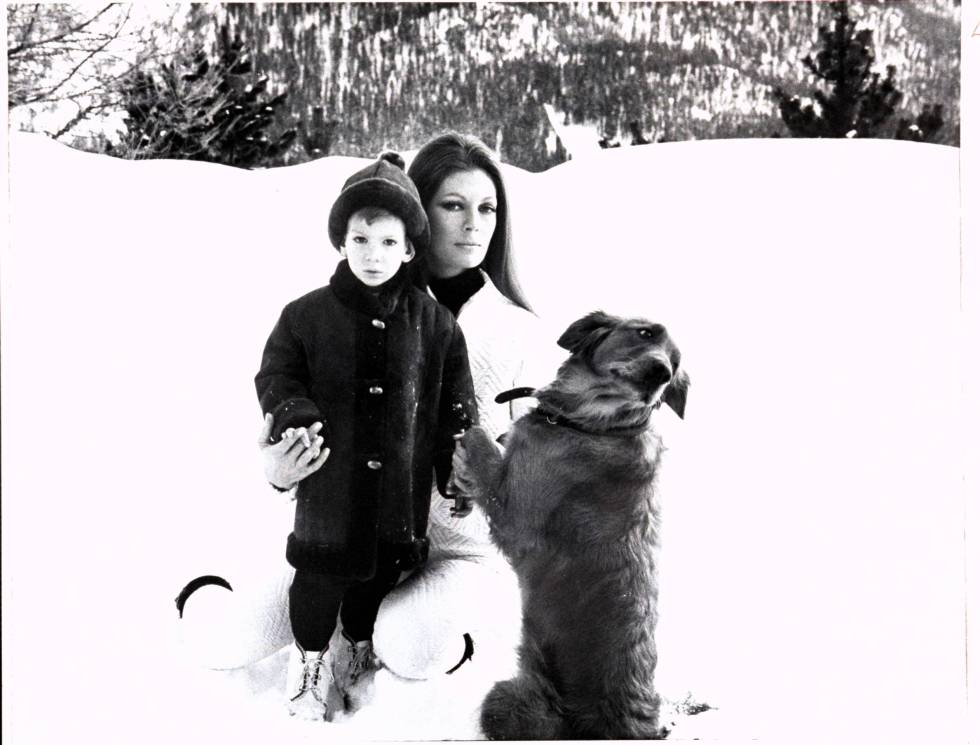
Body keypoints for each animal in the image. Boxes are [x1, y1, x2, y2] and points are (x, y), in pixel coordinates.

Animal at [452, 310, 688, 740]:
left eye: (675, 367)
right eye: (645, 333)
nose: (661, 373)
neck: (595, 424)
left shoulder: (516, 521)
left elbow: (486, 459)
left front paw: (471, 442)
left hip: (509, 700)